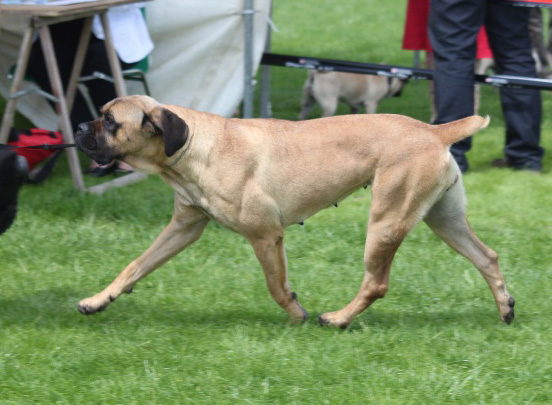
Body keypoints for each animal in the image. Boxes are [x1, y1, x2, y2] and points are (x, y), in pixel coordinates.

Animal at [74, 95, 515, 328]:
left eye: (109, 121)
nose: (78, 127)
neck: (194, 147)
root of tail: (435, 131)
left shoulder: (265, 235)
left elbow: (275, 286)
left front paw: (296, 315)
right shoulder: (184, 227)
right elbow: (135, 266)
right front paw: (98, 300)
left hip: (386, 222)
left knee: (376, 284)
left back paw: (337, 319)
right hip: (443, 218)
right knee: (487, 257)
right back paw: (505, 307)